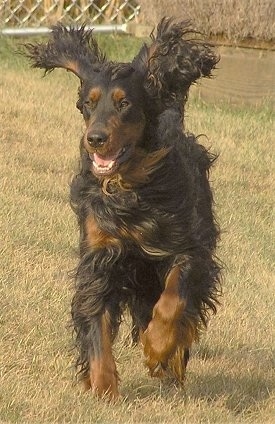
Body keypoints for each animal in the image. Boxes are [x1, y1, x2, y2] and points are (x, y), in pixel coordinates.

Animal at [25, 18, 222, 400]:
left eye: (124, 103)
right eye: (88, 103)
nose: (95, 139)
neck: (129, 187)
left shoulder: (187, 248)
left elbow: (174, 297)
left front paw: (157, 347)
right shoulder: (99, 258)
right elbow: (96, 323)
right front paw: (103, 388)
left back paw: (170, 363)